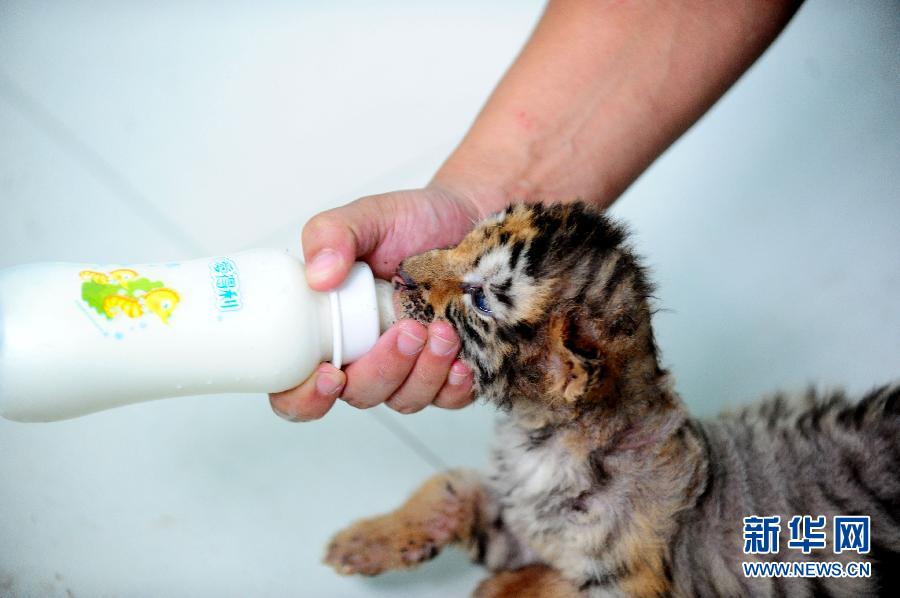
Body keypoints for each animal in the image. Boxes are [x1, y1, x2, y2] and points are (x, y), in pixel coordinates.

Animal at [323, 202, 900, 597]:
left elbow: (548, 586)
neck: (543, 437)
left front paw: (496, 589)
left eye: (480, 299)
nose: (400, 272)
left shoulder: (628, 583)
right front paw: (359, 543)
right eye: (463, 240)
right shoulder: (520, 513)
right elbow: (446, 489)